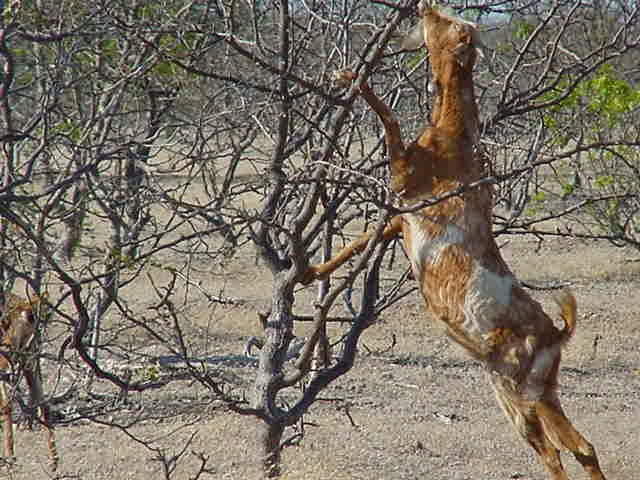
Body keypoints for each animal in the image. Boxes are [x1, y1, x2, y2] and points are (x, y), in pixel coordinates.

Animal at [304, 3, 604, 480]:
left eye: (450, 25)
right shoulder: (400, 218)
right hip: (523, 394)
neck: (453, 138)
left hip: (524, 389)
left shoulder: (404, 180)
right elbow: (359, 240)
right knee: (565, 450)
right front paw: (307, 270)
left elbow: (388, 118)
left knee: (570, 449)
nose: (424, 6)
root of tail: (556, 334)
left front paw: (349, 76)